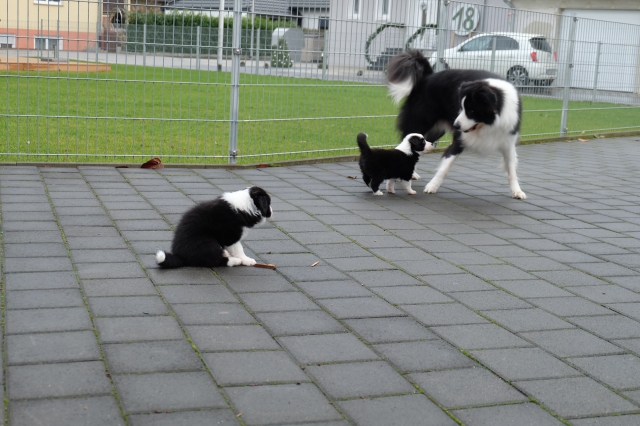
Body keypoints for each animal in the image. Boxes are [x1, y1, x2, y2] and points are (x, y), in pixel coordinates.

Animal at [387, 50, 526, 199]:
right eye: (461, 107)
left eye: (471, 111)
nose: (456, 126)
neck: (487, 124)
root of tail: (428, 76)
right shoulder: (459, 139)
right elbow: (446, 165)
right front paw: (432, 186)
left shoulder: (507, 139)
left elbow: (511, 168)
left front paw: (517, 190)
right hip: (419, 124)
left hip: (433, 132)